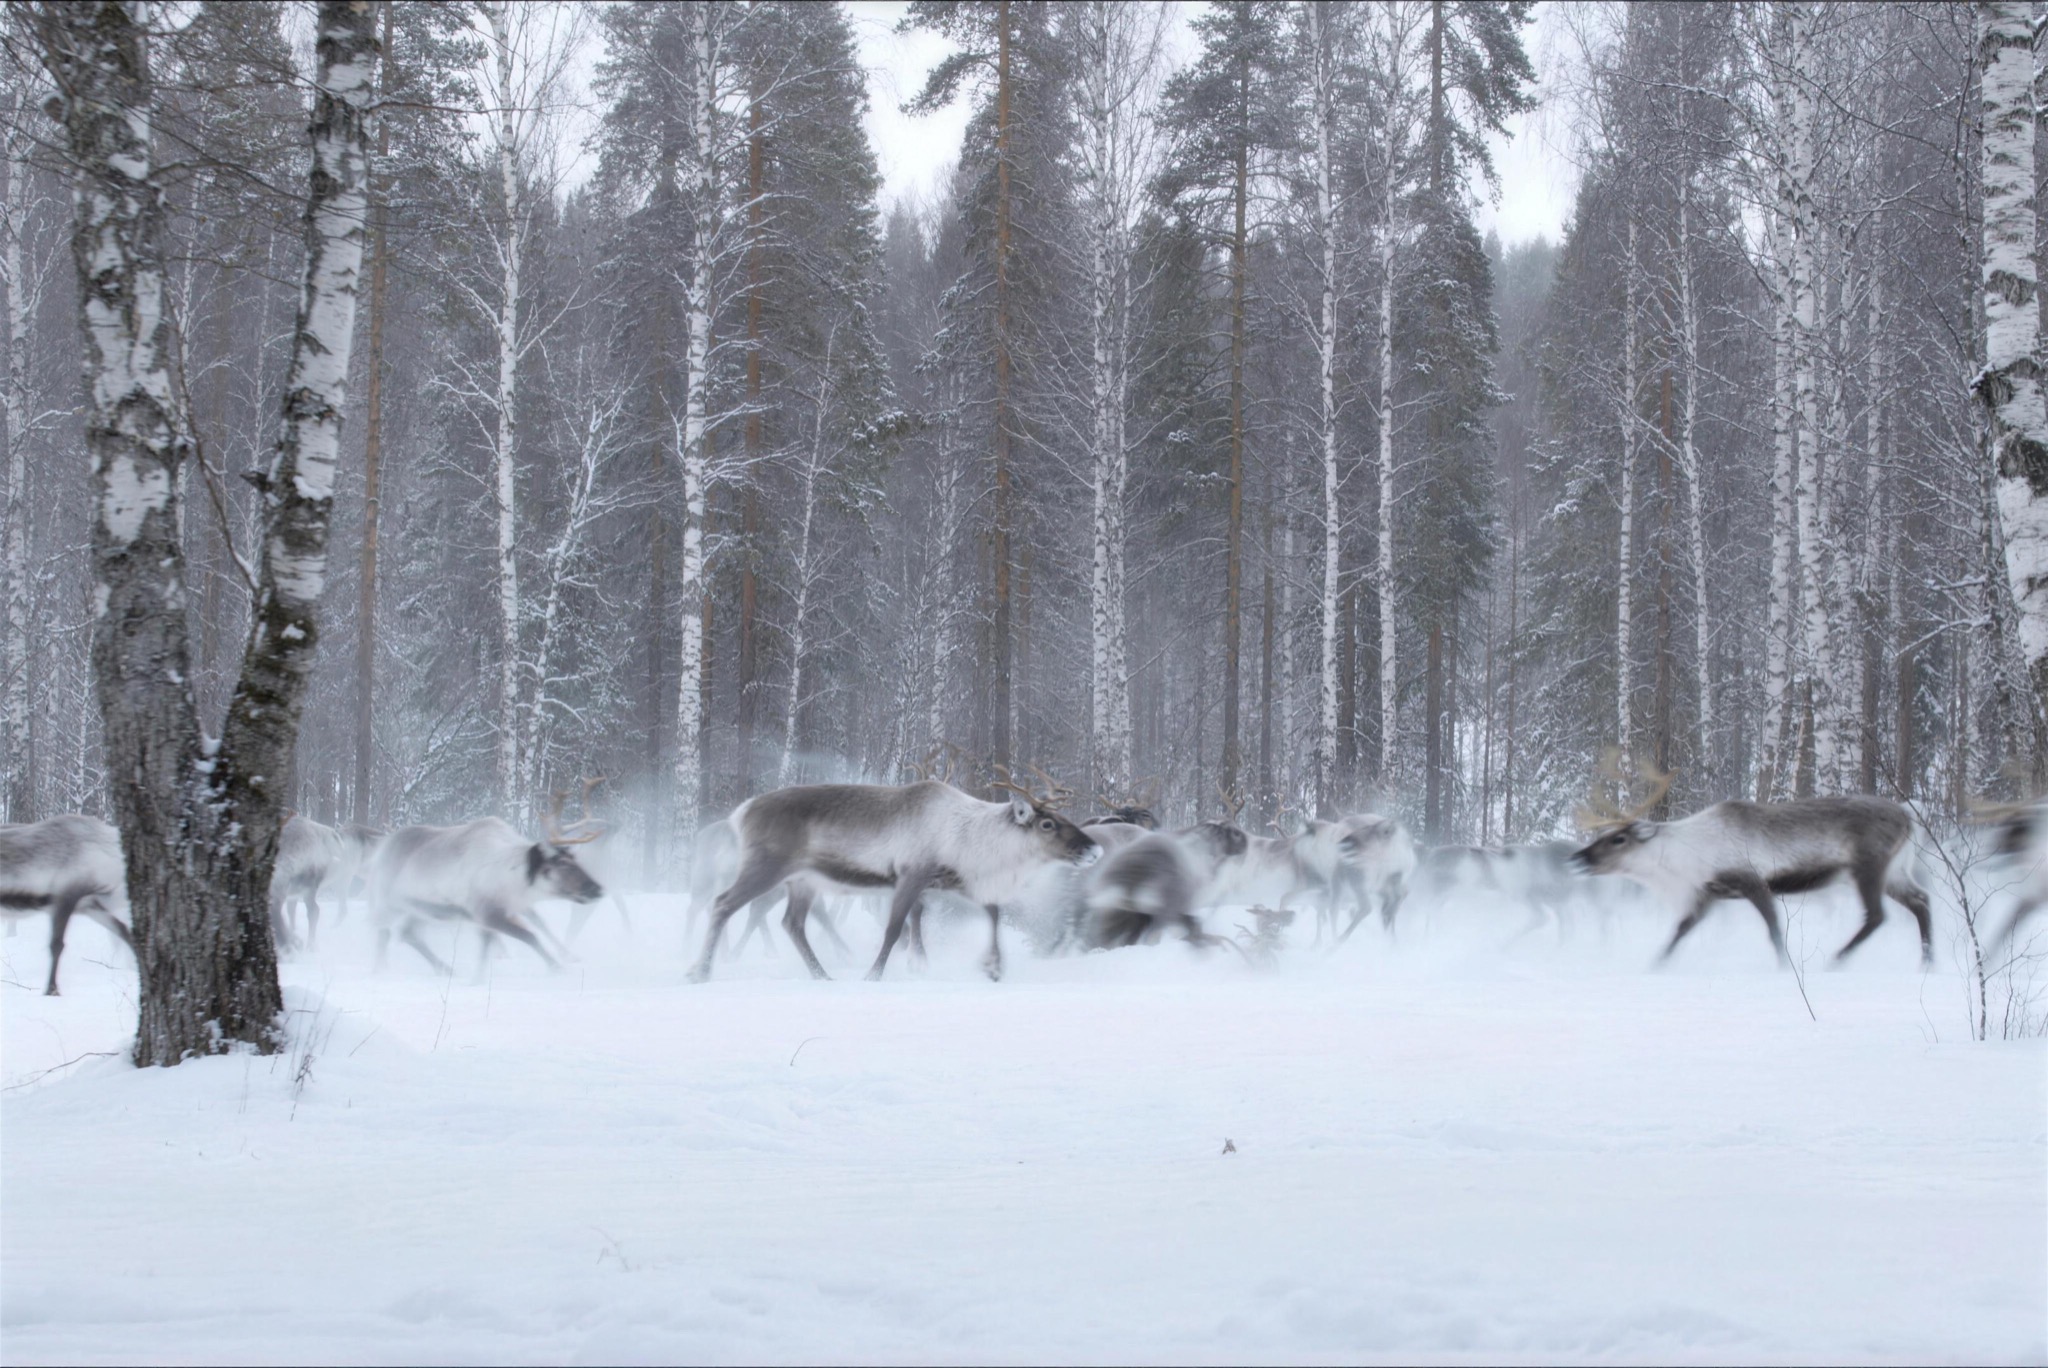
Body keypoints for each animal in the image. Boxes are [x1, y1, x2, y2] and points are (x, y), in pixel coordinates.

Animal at [368, 787, 605, 974]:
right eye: (562, 863)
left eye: (576, 859)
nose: (597, 888)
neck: (513, 878)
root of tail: (380, 850)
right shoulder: (487, 913)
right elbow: (529, 936)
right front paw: (557, 967)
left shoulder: (503, 911)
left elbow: (527, 931)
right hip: (389, 902)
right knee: (384, 932)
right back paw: (380, 971)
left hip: (423, 910)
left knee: (407, 933)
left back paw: (446, 969)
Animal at [685, 767, 1101, 984]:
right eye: (1047, 824)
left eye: (1063, 817)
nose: (1094, 849)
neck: (969, 839)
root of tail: (740, 812)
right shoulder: (911, 875)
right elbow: (894, 928)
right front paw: (874, 975)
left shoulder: (955, 880)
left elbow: (992, 913)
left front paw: (993, 967)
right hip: (767, 868)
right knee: (721, 904)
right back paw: (700, 970)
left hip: (803, 881)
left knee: (792, 923)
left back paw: (822, 976)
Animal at [1568, 751, 1935, 967]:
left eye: (1617, 839)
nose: (1577, 858)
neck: (1682, 861)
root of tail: (1909, 817)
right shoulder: (1707, 893)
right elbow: (1680, 931)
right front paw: (1655, 965)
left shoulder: (1751, 881)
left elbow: (1773, 928)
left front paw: (1784, 967)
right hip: (1895, 870)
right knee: (1921, 900)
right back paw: (1928, 962)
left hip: (1868, 866)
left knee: (1877, 915)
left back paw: (1837, 959)